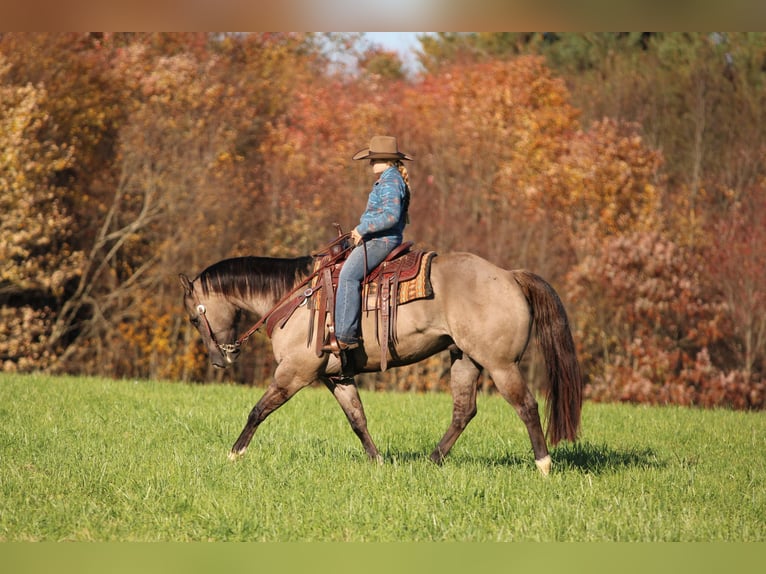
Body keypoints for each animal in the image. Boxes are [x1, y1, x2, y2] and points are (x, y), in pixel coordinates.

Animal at [179, 247, 583, 475]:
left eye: (194, 319)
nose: (220, 359)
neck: (297, 296)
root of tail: (510, 275)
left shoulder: (294, 372)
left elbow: (258, 410)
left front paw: (234, 455)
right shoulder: (337, 378)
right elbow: (357, 420)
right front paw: (377, 462)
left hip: (501, 365)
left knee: (526, 406)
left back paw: (543, 465)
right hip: (465, 359)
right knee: (463, 411)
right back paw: (432, 461)